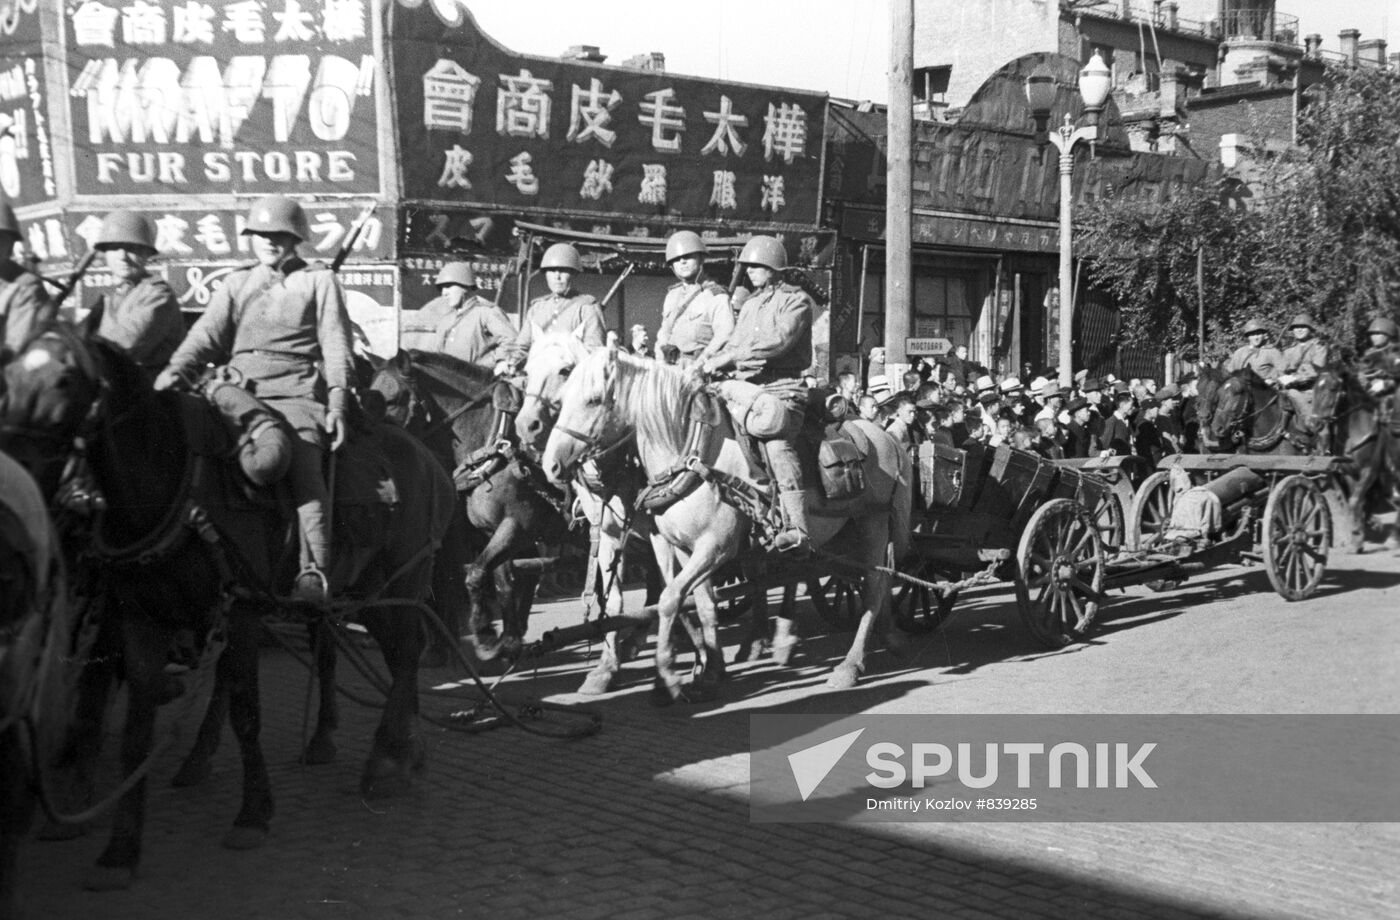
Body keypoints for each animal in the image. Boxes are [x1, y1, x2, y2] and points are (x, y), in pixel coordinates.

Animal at [0, 327, 453, 890]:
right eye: (9, 374)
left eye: (66, 379)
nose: (19, 473)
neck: (173, 485)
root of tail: (430, 461)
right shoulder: (138, 617)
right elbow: (134, 727)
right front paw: (118, 849)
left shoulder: (238, 610)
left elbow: (244, 712)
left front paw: (252, 814)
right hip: (369, 589)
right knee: (393, 656)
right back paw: (402, 752)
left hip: (404, 576)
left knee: (407, 653)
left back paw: (384, 765)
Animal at [372, 348, 574, 655]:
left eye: (393, 399)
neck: (497, 446)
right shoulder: (495, 531)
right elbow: (504, 583)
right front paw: (510, 641)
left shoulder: (517, 526)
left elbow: (477, 573)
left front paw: (485, 632)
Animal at [540, 343, 912, 697]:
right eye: (561, 398)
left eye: (594, 399)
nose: (551, 464)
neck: (691, 455)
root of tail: (886, 437)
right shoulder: (679, 546)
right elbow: (701, 603)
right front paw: (707, 671)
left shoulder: (715, 546)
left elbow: (669, 598)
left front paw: (667, 677)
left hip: (874, 523)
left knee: (874, 586)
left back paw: (849, 664)